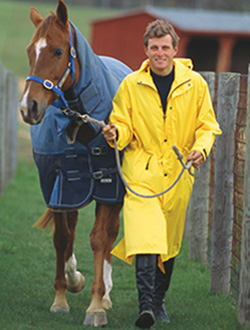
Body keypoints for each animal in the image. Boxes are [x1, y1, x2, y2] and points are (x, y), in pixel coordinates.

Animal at [18, 0, 132, 324]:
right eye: (31, 51)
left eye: (58, 51)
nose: (28, 107)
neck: (83, 122)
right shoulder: (59, 186)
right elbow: (62, 238)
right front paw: (66, 290)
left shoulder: (108, 188)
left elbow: (99, 239)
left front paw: (95, 304)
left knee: (110, 235)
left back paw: (105, 294)